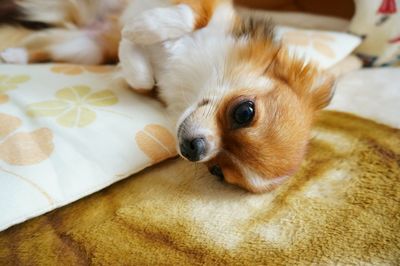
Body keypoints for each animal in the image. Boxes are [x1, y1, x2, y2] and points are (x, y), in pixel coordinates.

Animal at [0, 0, 334, 192]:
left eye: (216, 171)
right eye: (244, 111)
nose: (195, 149)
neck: (198, 73)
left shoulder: (147, 84)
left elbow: (142, 76)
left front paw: (129, 46)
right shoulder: (206, 8)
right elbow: (186, 16)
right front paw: (138, 29)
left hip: (85, 49)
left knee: (43, 48)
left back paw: (13, 55)